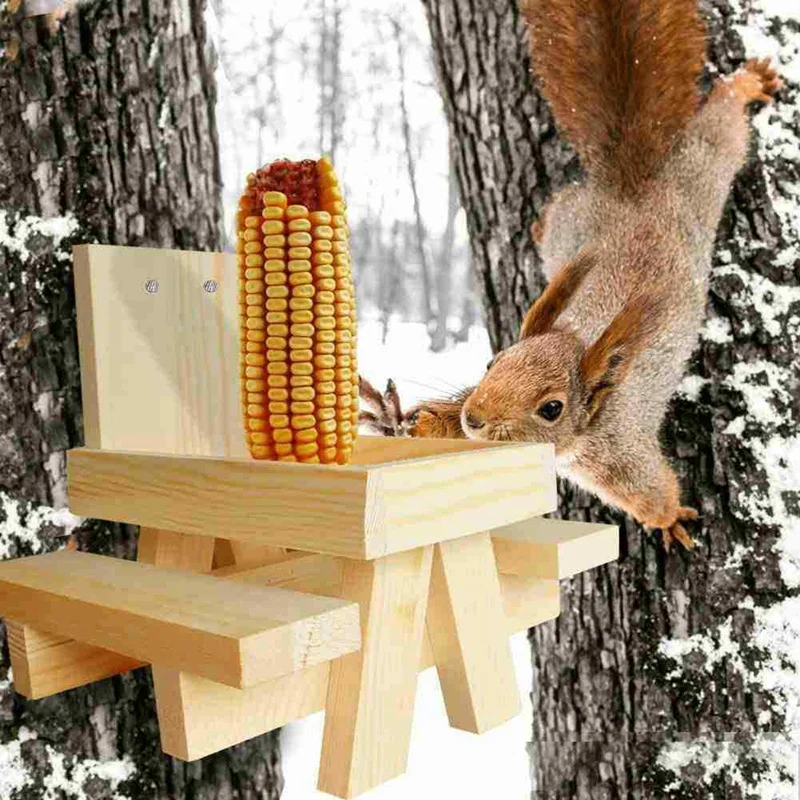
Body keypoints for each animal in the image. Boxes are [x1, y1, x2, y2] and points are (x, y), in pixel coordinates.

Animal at [358, 0, 780, 552]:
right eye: (492, 363)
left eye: (552, 408)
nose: (475, 416)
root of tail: (632, 187)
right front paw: (413, 422)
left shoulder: (620, 453)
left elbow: (652, 492)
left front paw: (669, 520)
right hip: (573, 220)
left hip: (700, 179)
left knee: (718, 134)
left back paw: (746, 84)